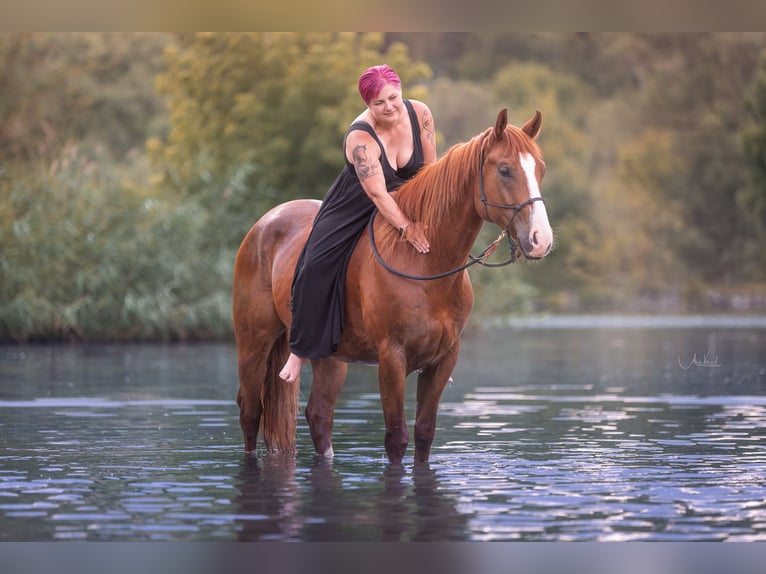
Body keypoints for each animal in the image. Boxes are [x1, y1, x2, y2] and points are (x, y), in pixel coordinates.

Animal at [232, 108, 553, 464]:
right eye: (505, 170)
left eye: (540, 168)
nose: (541, 240)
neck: (427, 264)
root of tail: (265, 222)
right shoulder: (391, 358)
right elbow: (396, 438)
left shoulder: (443, 359)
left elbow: (424, 433)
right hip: (254, 343)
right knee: (250, 411)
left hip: (330, 358)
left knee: (319, 415)